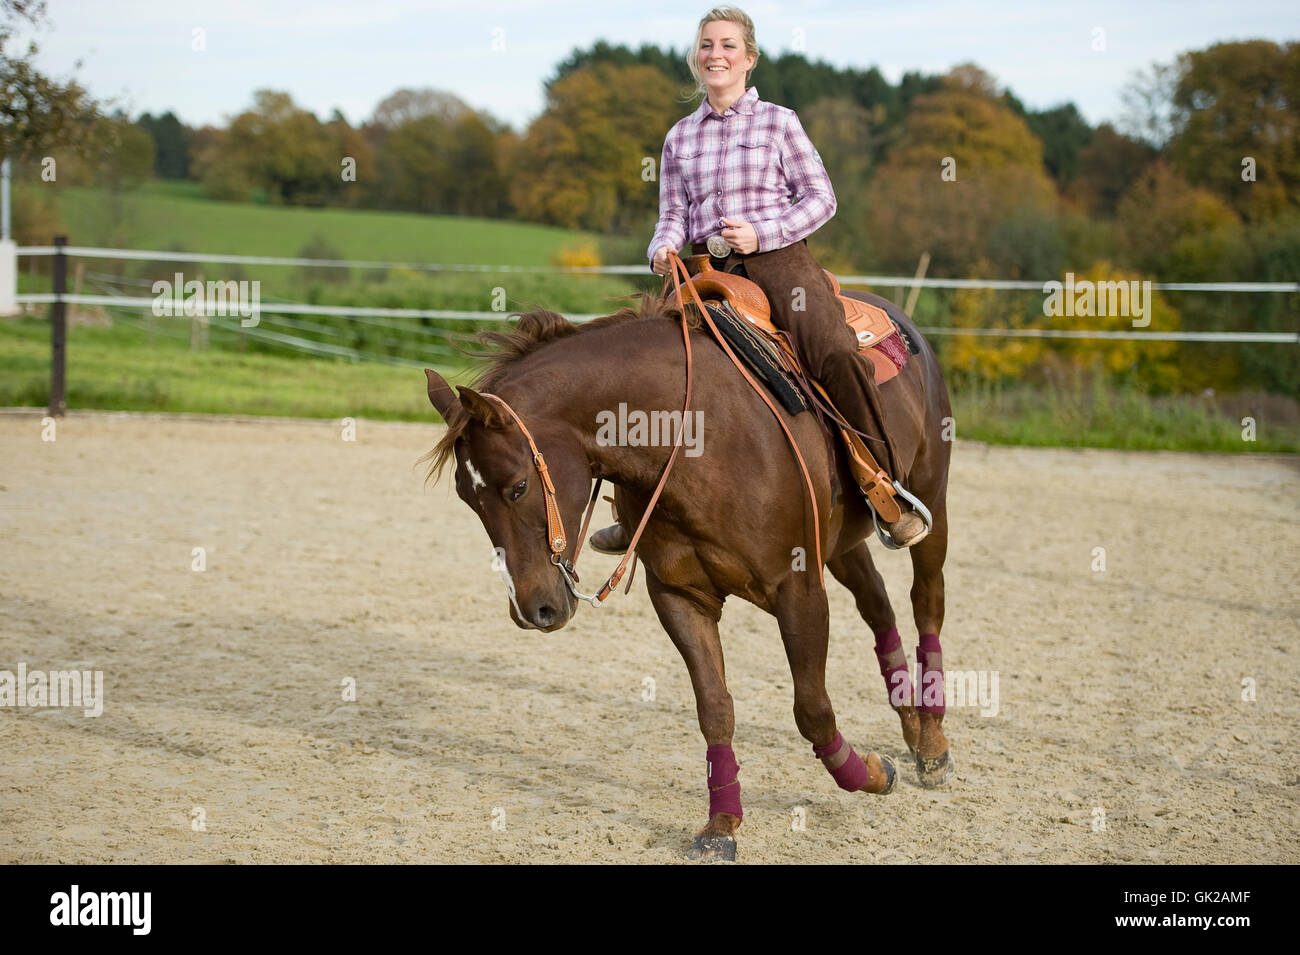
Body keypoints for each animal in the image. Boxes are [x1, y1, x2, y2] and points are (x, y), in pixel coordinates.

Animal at [421, 269, 954, 861]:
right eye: (468, 499)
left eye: (516, 487)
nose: (533, 610)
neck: (700, 438)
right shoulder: (679, 596)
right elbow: (714, 708)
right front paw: (721, 825)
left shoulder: (799, 589)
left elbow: (812, 708)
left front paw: (872, 775)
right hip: (840, 543)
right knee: (878, 606)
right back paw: (911, 724)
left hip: (931, 505)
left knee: (925, 603)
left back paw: (933, 743)